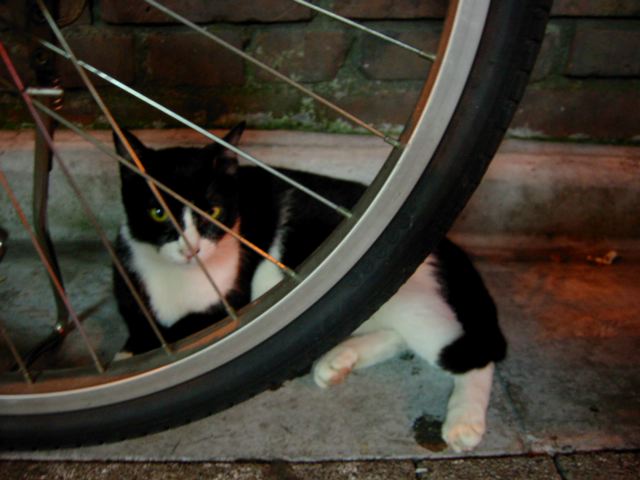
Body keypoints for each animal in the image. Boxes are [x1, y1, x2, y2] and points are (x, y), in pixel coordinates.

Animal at [113, 123, 507, 452]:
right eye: (157, 212)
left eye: (213, 211)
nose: (190, 249)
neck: (177, 278)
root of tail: (442, 241)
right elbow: (140, 326)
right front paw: (131, 353)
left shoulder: (235, 297)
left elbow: (187, 326)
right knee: (395, 331)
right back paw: (338, 360)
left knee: (468, 349)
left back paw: (464, 421)